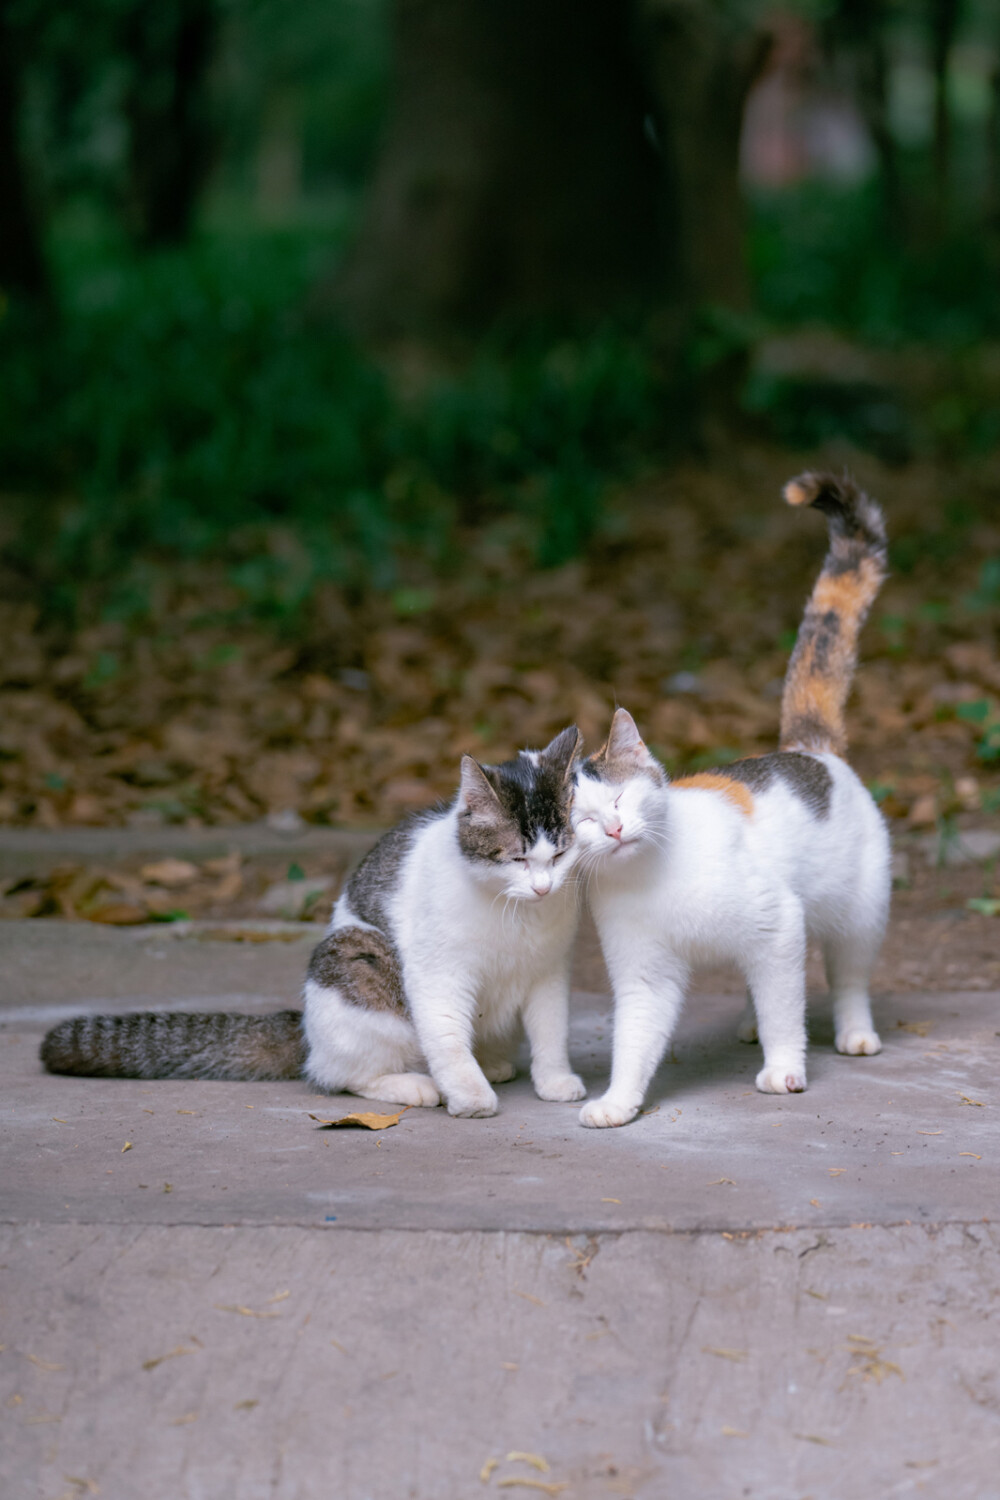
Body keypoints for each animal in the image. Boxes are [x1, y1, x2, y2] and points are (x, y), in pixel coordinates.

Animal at [41, 720, 587, 1122]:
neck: (515, 914)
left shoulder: (549, 971)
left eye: (559, 855)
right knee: (341, 1075)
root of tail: (305, 1028)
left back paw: (490, 1062)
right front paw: (469, 1096)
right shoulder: (438, 975)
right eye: (517, 859)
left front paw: (554, 1080)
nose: (543, 888)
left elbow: (550, 1031)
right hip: (354, 959)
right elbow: (449, 1040)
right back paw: (414, 1083)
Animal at [569, 468, 893, 1128]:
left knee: (846, 974)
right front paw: (617, 1103)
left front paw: (784, 1068)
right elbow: (635, 1040)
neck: (651, 878)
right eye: (582, 820)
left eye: (620, 801)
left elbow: (785, 1009)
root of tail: (807, 746)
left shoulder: (777, 919)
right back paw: (747, 1023)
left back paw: (854, 1033)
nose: (613, 831)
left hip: (860, 909)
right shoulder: (645, 972)